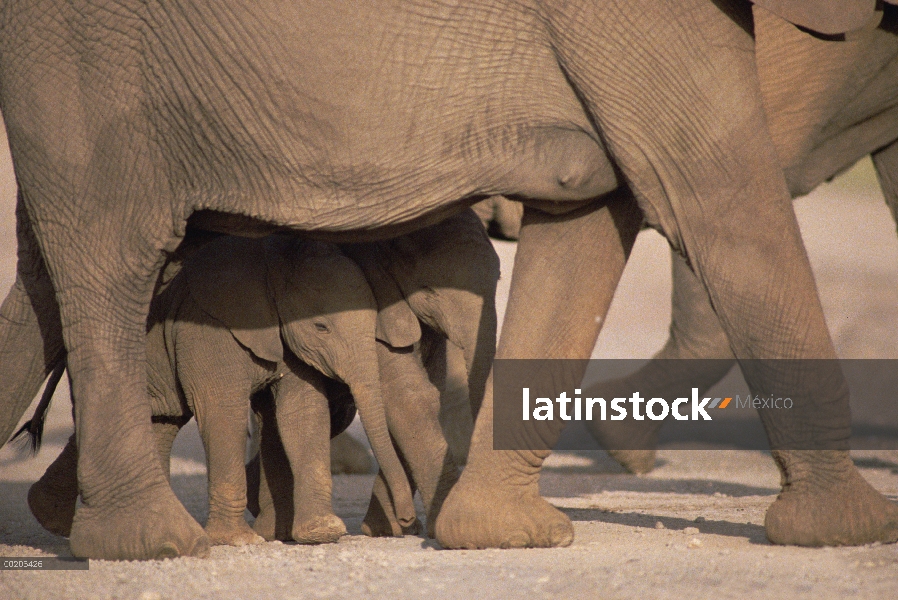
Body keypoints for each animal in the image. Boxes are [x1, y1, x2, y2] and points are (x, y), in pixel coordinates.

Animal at [0, 0, 892, 556]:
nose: (403, 518)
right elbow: (716, 196)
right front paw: (851, 530)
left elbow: (593, 213)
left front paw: (492, 532)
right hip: (82, 62)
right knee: (107, 251)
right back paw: (149, 544)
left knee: (45, 280)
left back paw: (60, 518)